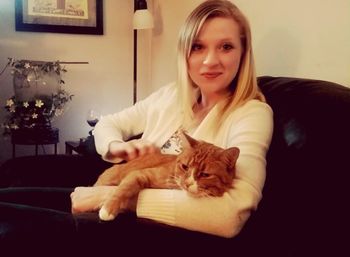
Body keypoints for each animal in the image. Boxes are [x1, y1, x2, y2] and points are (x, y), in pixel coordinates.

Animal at [94, 132, 239, 220]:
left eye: (205, 174)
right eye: (185, 166)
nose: (187, 183)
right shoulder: (139, 174)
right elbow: (123, 189)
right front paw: (108, 209)